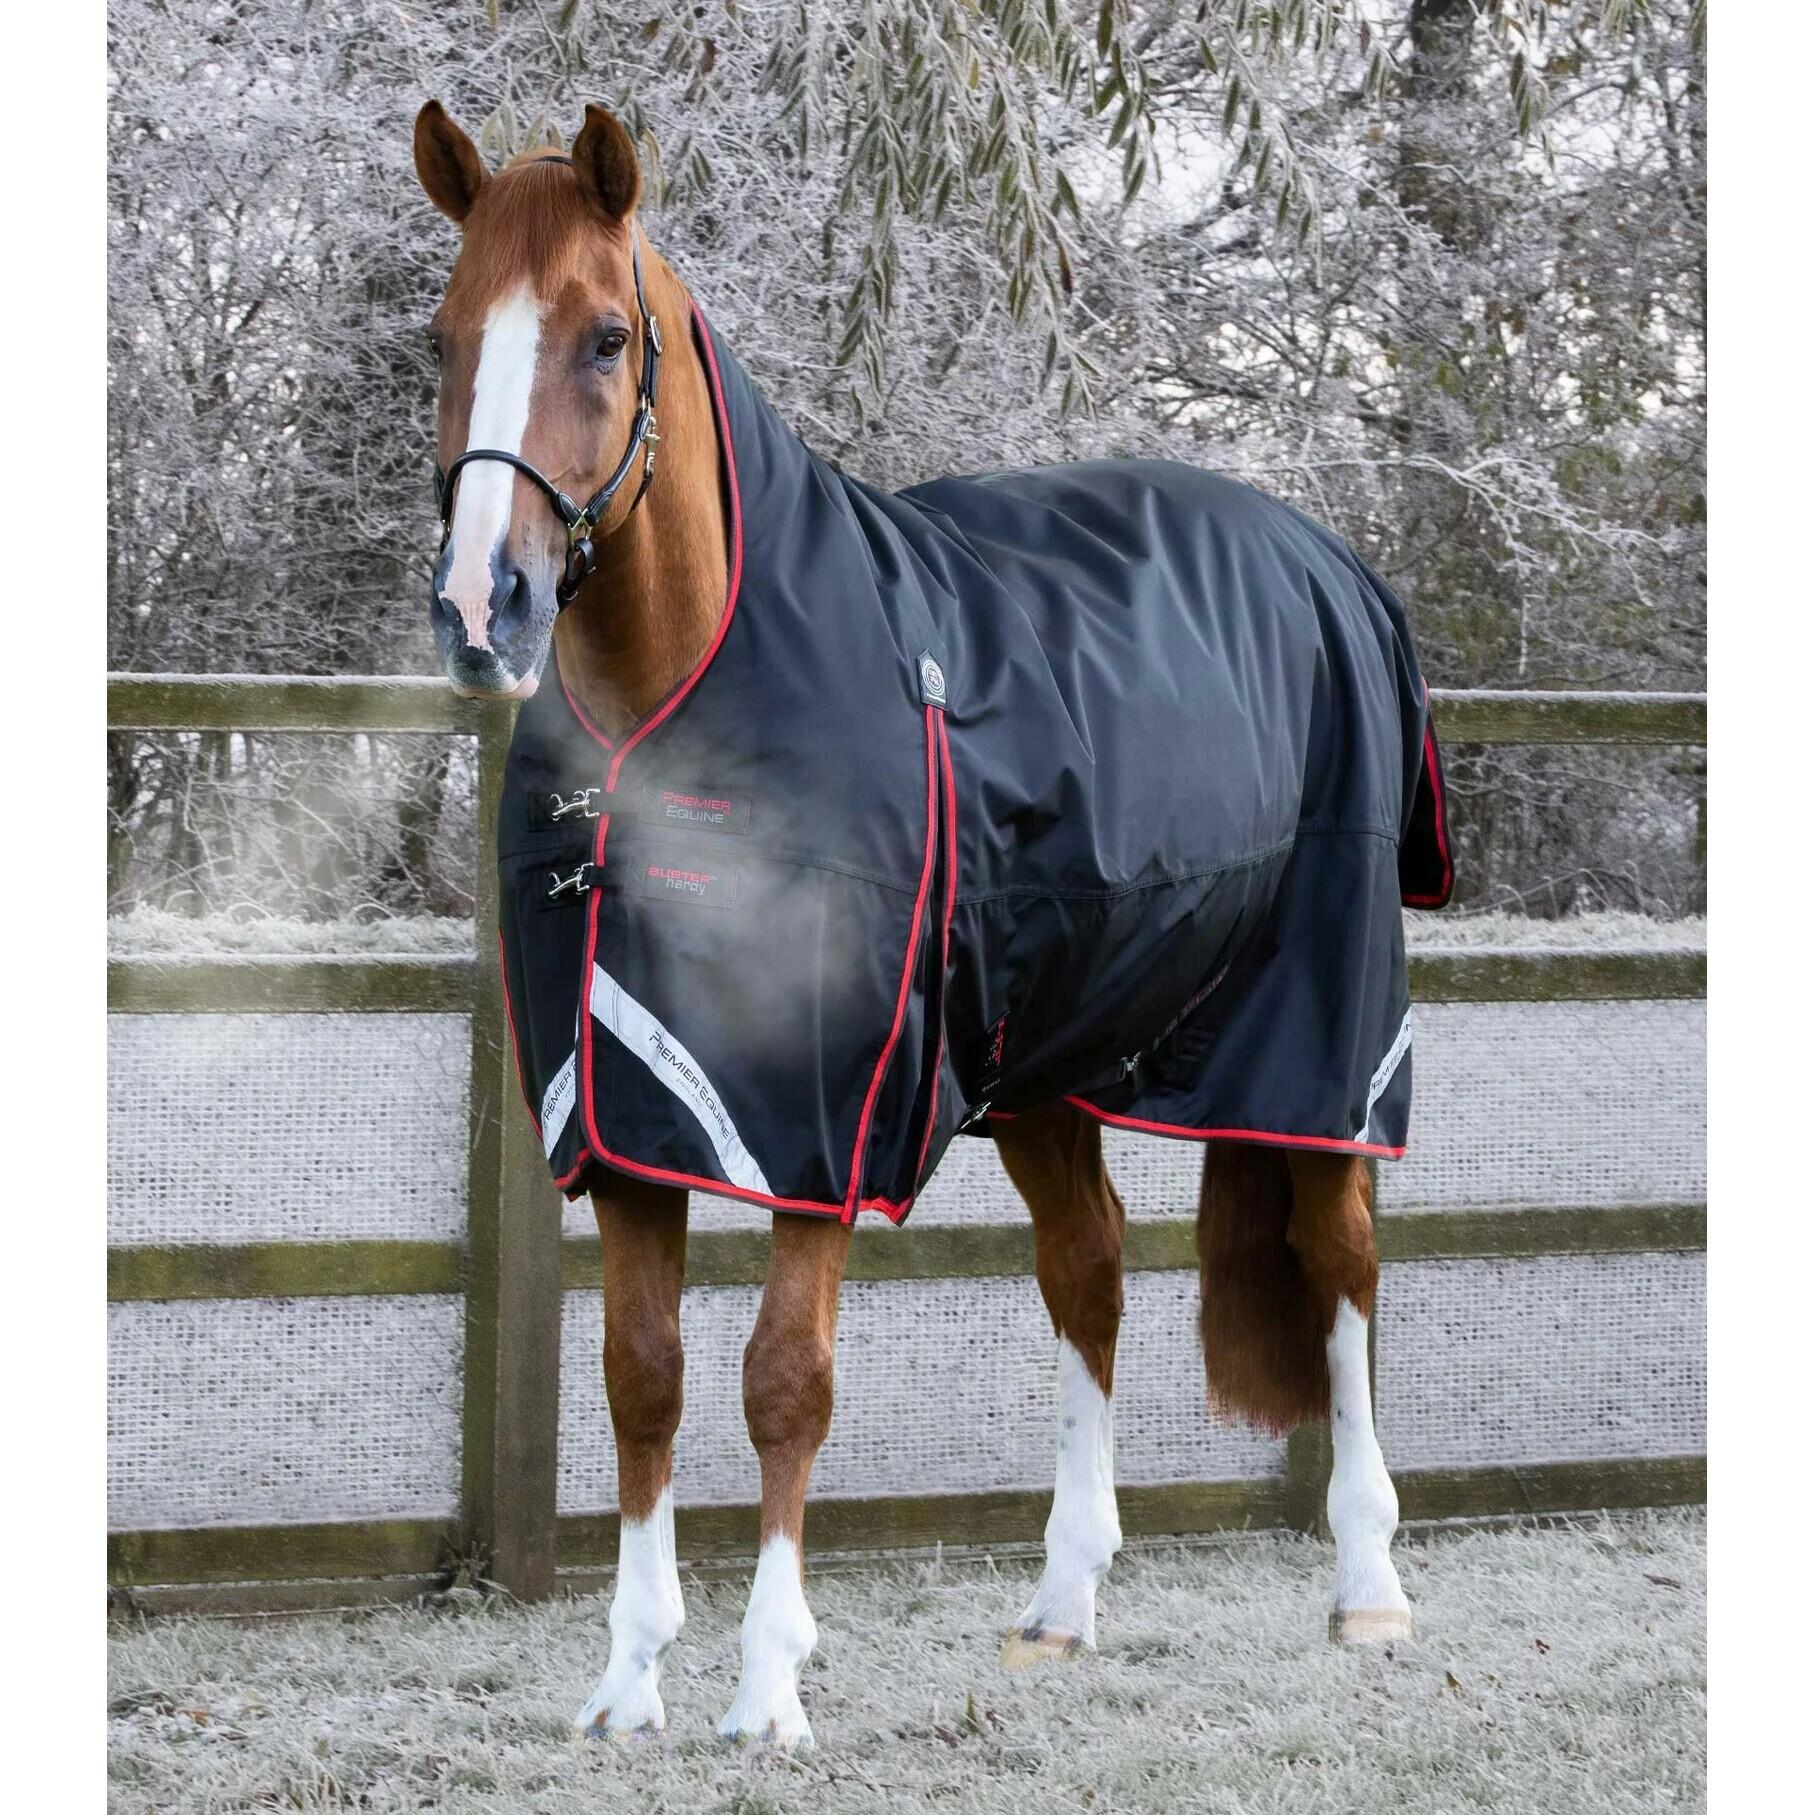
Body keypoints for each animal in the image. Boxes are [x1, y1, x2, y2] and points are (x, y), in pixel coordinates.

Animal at [414, 99, 1432, 1749]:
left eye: (605, 338)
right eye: (444, 336)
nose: (478, 606)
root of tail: (1322, 557)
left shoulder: (827, 1125)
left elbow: (782, 1381)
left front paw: (766, 1685)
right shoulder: (625, 1119)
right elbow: (642, 1376)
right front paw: (626, 1678)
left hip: (1318, 1049)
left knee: (1339, 1267)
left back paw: (1367, 1585)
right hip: (1046, 1067)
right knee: (1087, 1272)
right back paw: (1060, 1605)